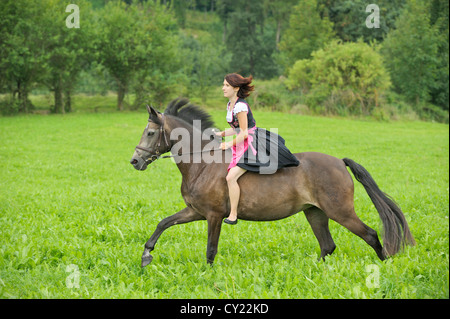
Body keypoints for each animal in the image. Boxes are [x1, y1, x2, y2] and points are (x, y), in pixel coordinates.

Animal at [129, 99, 414, 268]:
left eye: (151, 133)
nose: (134, 161)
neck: (202, 164)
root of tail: (339, 162)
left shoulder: (213, 215)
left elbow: (210, 248)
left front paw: (207, 274)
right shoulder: (195, 212)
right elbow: (163, 223)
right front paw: (146, 255)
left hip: (340, 211)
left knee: (370, 234)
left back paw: (386, 265)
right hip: (315, 213)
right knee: (328, 245)